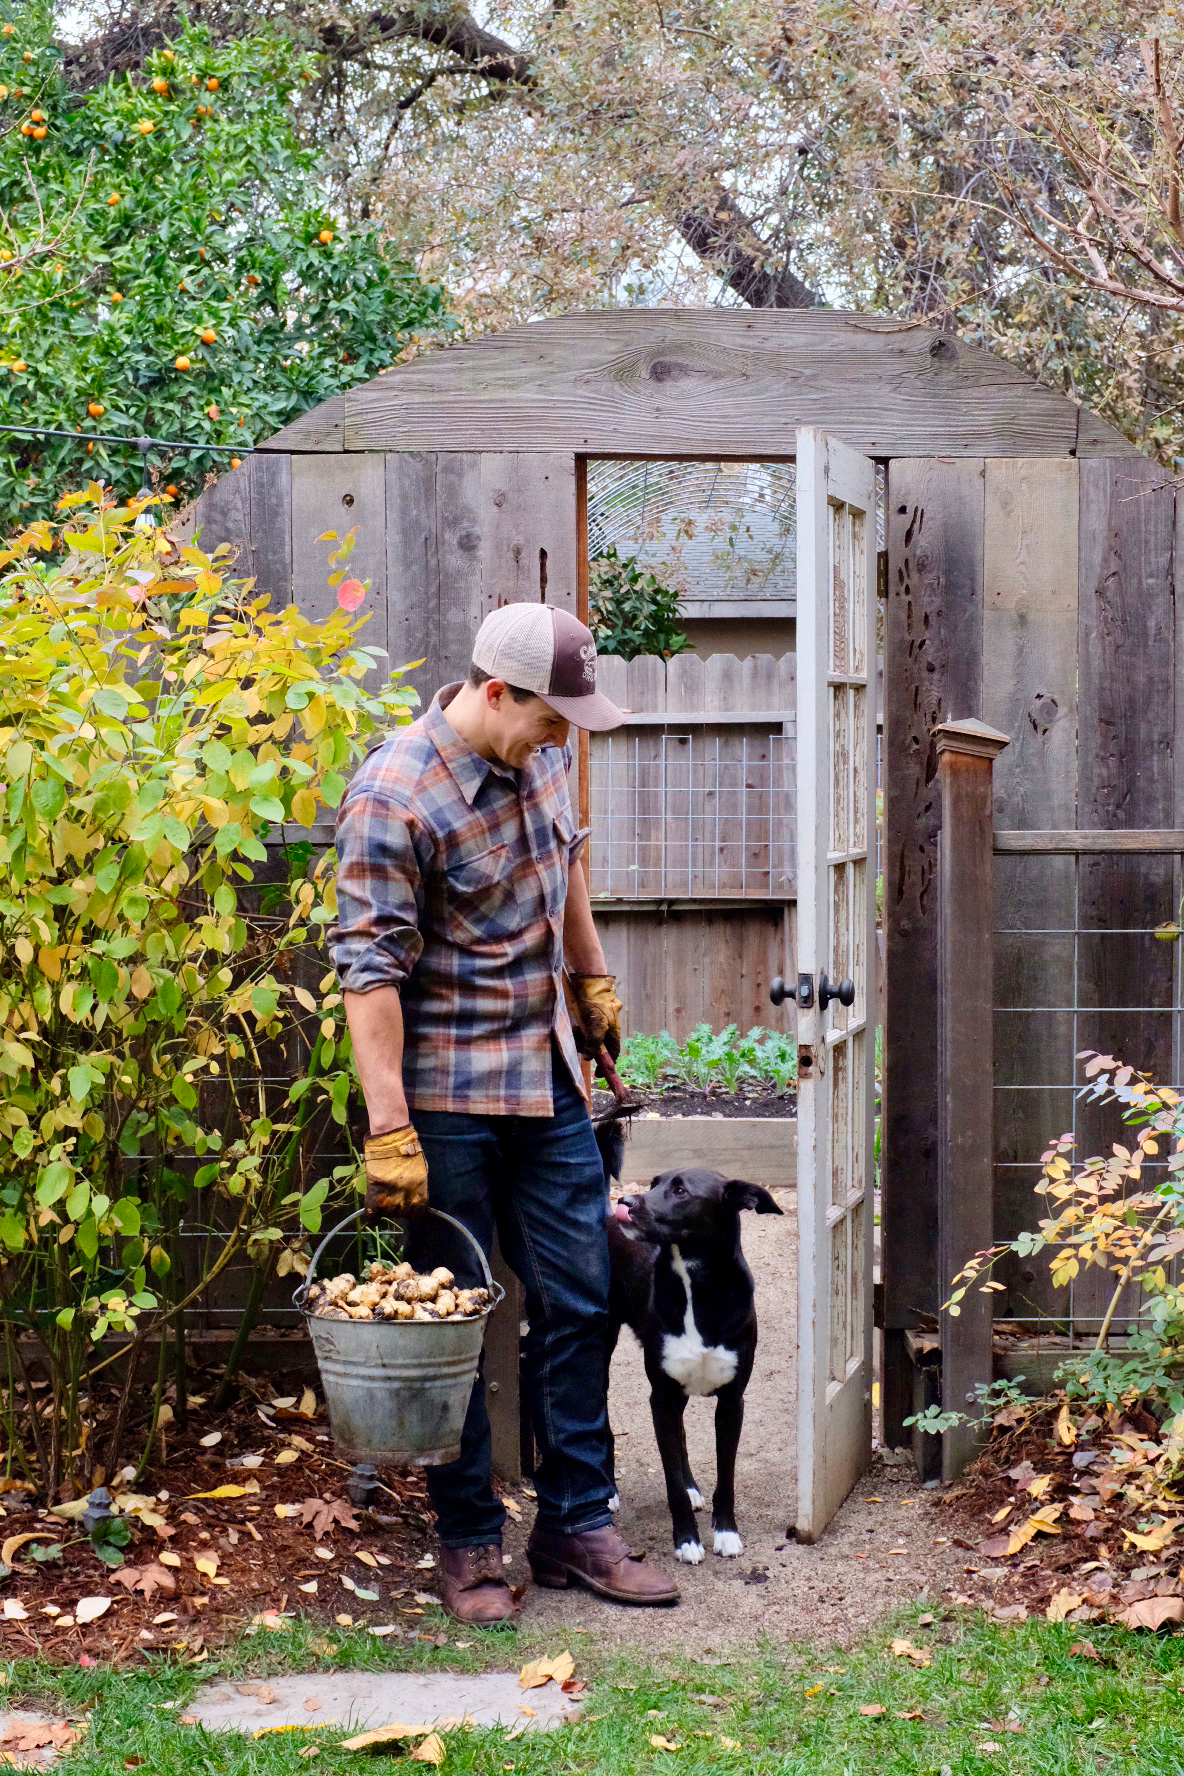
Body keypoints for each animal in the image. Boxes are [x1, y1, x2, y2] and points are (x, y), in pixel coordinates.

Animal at [607, 1165, 781, 1569]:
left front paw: (727, 1533)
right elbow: (670, 1478)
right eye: (653, 1184)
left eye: (681, 1191)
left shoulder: (732, 1402)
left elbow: (725, 1473)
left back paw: (692, 1487)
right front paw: (686, 1539)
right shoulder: (660, 1397)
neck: (695, 1285)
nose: (625, 1202)